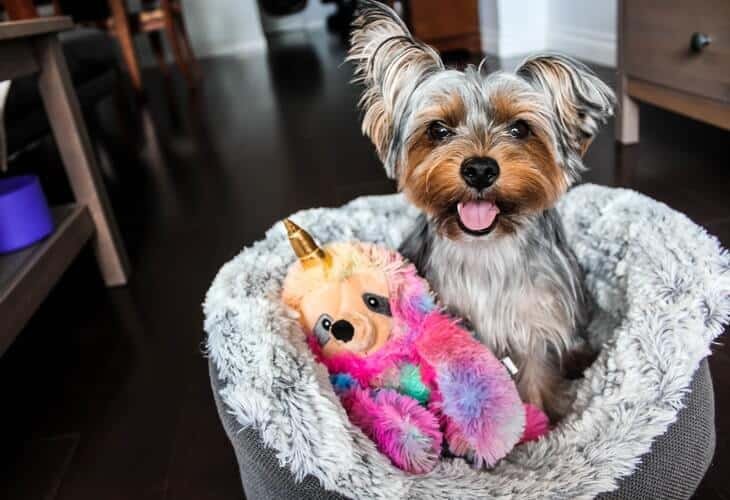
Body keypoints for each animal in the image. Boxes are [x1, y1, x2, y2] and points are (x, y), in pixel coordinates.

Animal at [346, 1, 616, 420]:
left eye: (520, 129)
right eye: (438, 130)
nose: (479, 169)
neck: (487, 246)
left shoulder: (537, 322)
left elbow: (536, 377)